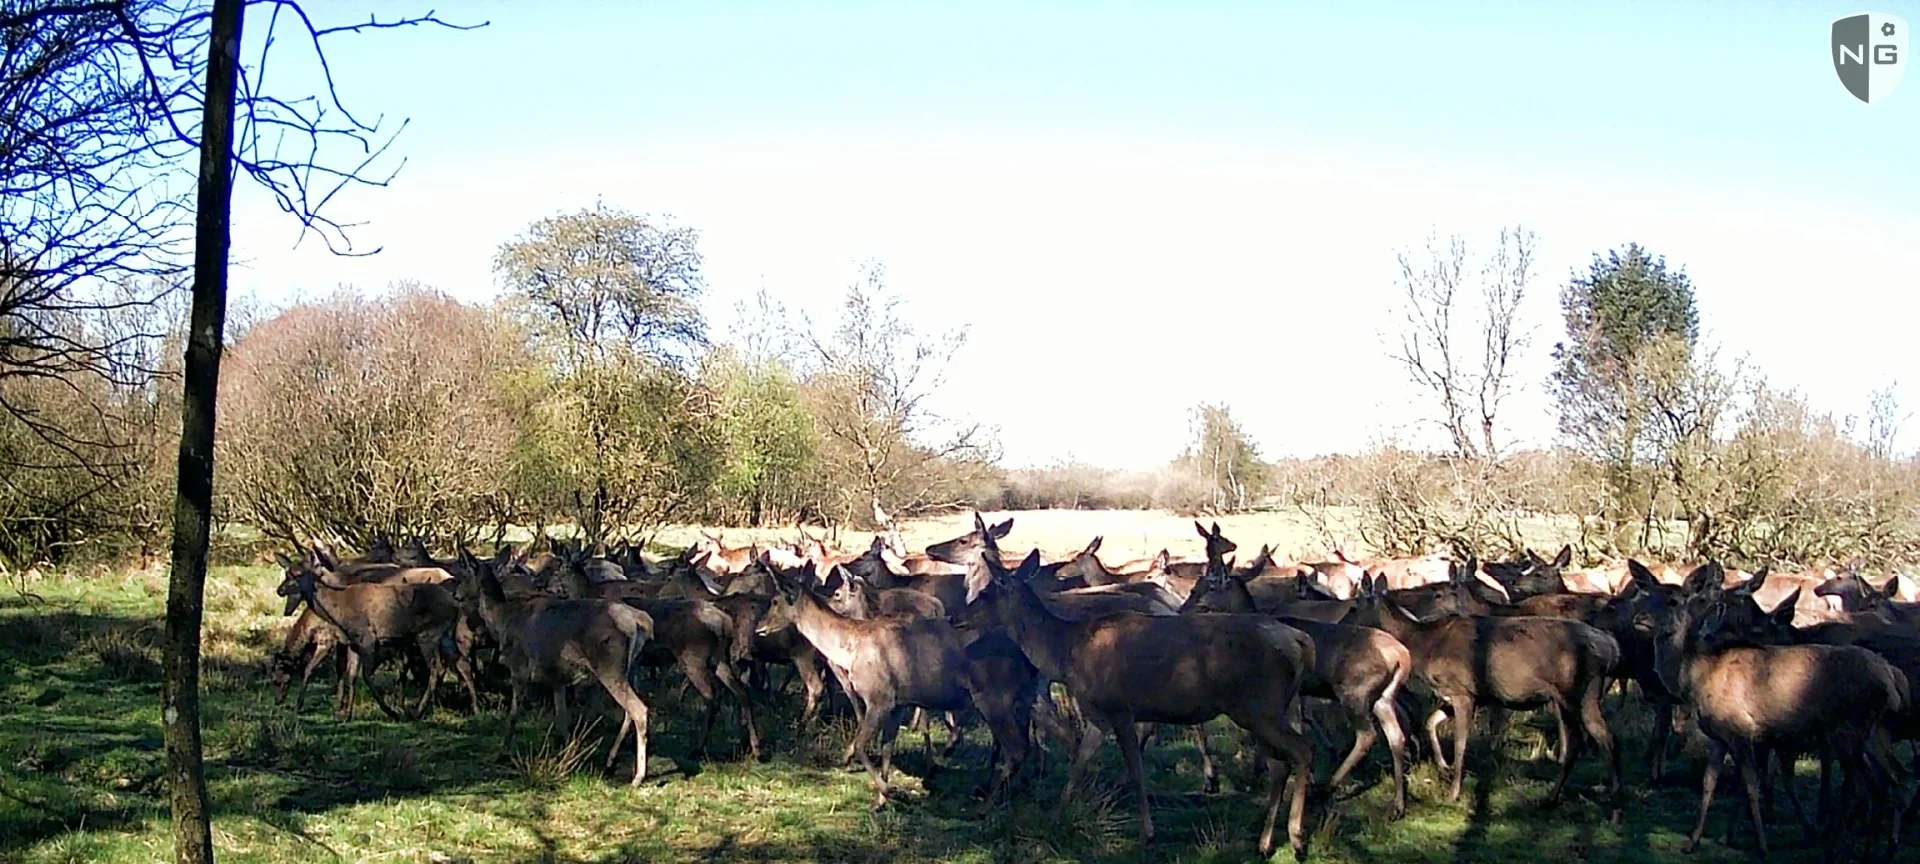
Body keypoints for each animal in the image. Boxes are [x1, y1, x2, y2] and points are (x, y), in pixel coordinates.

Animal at [964, 513, 1318, 859]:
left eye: (986, 592)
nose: (957, 617)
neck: (1067, 651)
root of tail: (1300, 642)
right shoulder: (1098, 714)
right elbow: (1079, 762)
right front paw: (1057, 815)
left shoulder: (1120, 706)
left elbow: (1135, 769)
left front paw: (1147, 832)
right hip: (1280, 705)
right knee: (1280, 764)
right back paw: (1265, 842)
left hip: (1258, 705)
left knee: (1302, 750)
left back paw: (1297, 838)